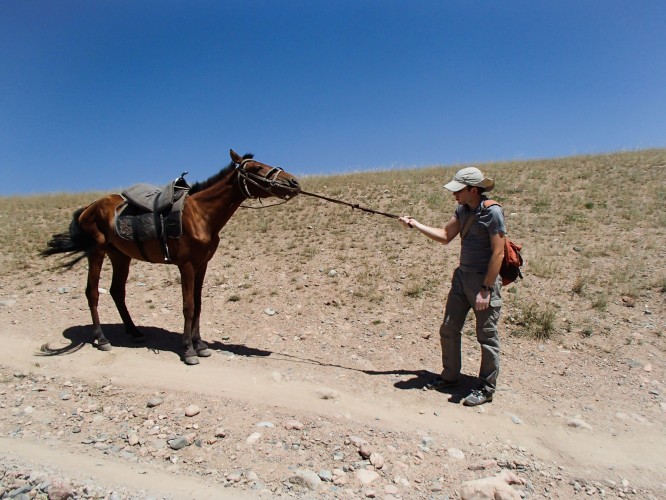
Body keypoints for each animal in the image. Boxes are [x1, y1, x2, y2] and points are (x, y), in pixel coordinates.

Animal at [42, 148, 300, 364]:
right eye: (256, 168)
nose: (294, 182)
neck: (201, 215)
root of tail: (88, 208)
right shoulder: (186, 265)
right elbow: (188, 306)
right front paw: (188, 350)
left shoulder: (202, 265)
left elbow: (198, 304)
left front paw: (200, 344)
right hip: (96, 252)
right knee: (93, 292)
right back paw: (102, 338)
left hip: (120, 256)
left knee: (117, 291)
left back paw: (134, 331)